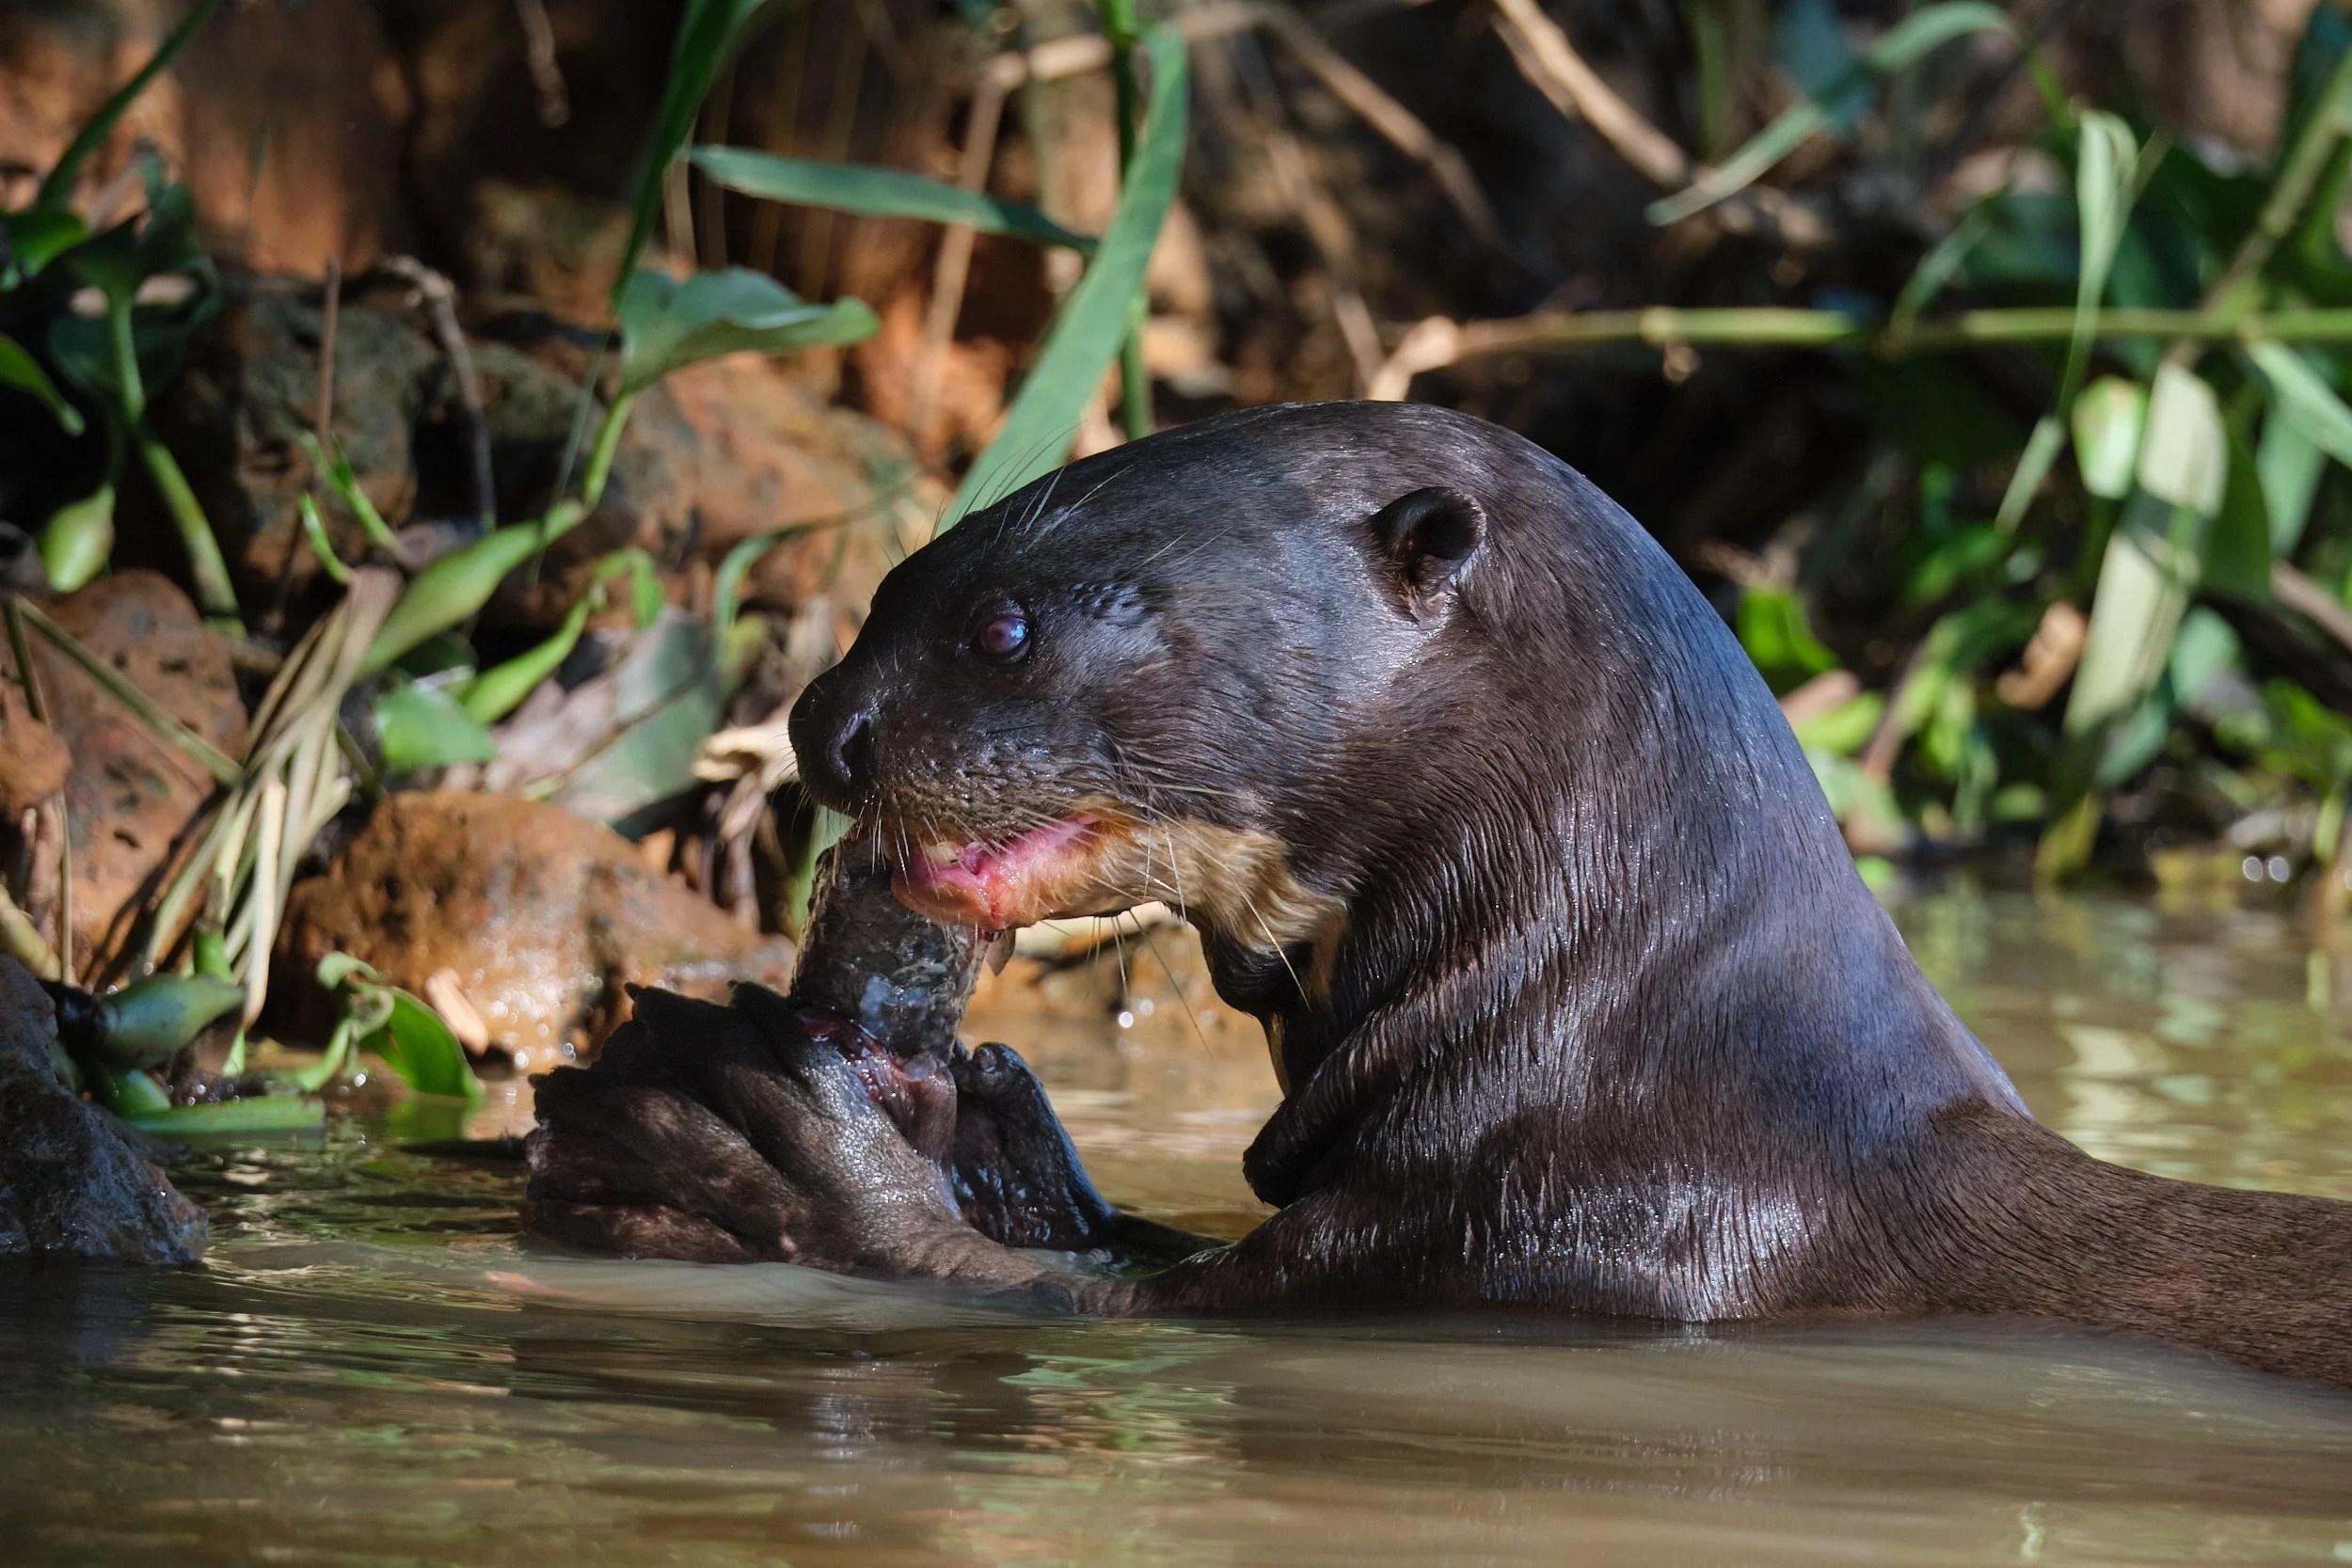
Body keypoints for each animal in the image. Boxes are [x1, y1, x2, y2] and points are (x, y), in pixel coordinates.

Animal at [543, 402, 2352, 1388]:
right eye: (888, 589)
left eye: (1005, 628)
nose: (820, 725)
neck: (1626, 1053)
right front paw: (964, 1120)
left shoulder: (1527, 1240)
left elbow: (1016, 1288)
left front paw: (745, 1146)